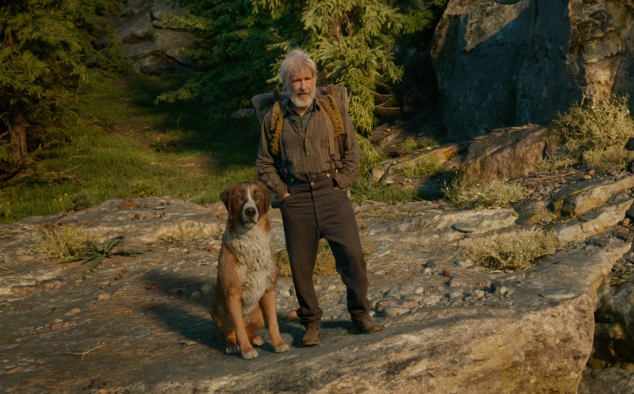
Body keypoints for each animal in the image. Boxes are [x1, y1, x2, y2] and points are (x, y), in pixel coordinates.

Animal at [210, 182, 288, 360]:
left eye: (257, 196)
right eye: (239, 197)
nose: (250, 211)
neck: (251, 238)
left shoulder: (269, 290)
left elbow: (274, 322)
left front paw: (278, 343)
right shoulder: (233, 294)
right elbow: (237, 327)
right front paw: (246, 349)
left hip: (259, 315)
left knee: (247, 329)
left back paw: (256, 338)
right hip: (217, 310)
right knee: (231, 331)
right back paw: (232, 345)